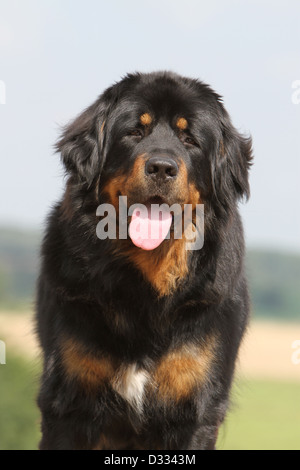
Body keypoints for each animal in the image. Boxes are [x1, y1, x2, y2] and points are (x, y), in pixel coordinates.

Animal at [37, 71, 253, 450]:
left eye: (189, 139)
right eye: (135, 132)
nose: (162, 167)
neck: (145, 288)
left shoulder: (195, 407)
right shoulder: (68, 402)